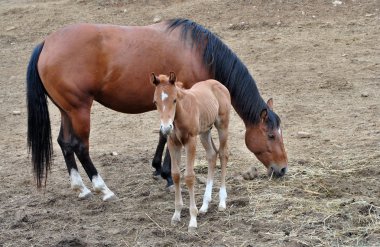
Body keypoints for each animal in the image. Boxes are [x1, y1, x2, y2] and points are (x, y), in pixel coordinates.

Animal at [27, 18, 288, 201]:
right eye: (271, 135)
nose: (283, 169)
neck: (199, 52)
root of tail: (46, 43)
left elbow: (164, 133)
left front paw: (158, 169)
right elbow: (170, 135)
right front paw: (167, 174)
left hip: (67, 110)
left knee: (65, 143)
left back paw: (80, 188)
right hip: (80, 109)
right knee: (80, 147)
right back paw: (103, 189)